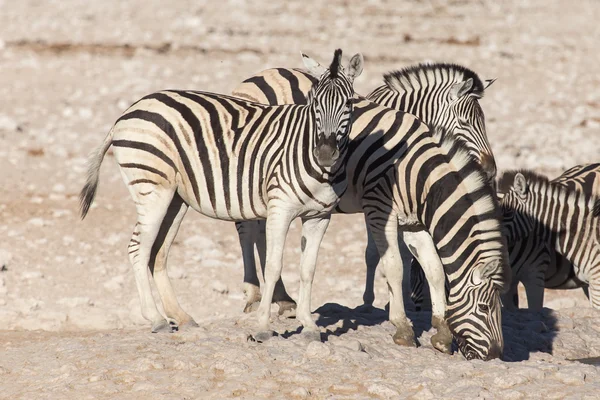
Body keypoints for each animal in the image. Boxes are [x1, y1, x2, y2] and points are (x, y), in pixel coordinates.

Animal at [77, 47, 364, 340]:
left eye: (349, 104)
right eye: (314, 102)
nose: (325, 153)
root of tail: (127, 113)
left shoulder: (319, 216)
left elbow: (308, 270)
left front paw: (309, 325)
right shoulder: (280, 208)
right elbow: (273, 266)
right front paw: (263, 327)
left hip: (175, 199)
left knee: (158, 252)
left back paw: (182, 317)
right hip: (153, 188)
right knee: (138, 248)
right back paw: (156, 319)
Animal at [232, 62, 508, 360]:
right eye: (465, 122)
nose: (490, 170)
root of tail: (259, 76)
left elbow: (414, 262)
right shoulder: (376, 204)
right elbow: (390, 261)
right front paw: (395, 318)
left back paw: (282, 299)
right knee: (246, 230)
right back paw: (254, 294)